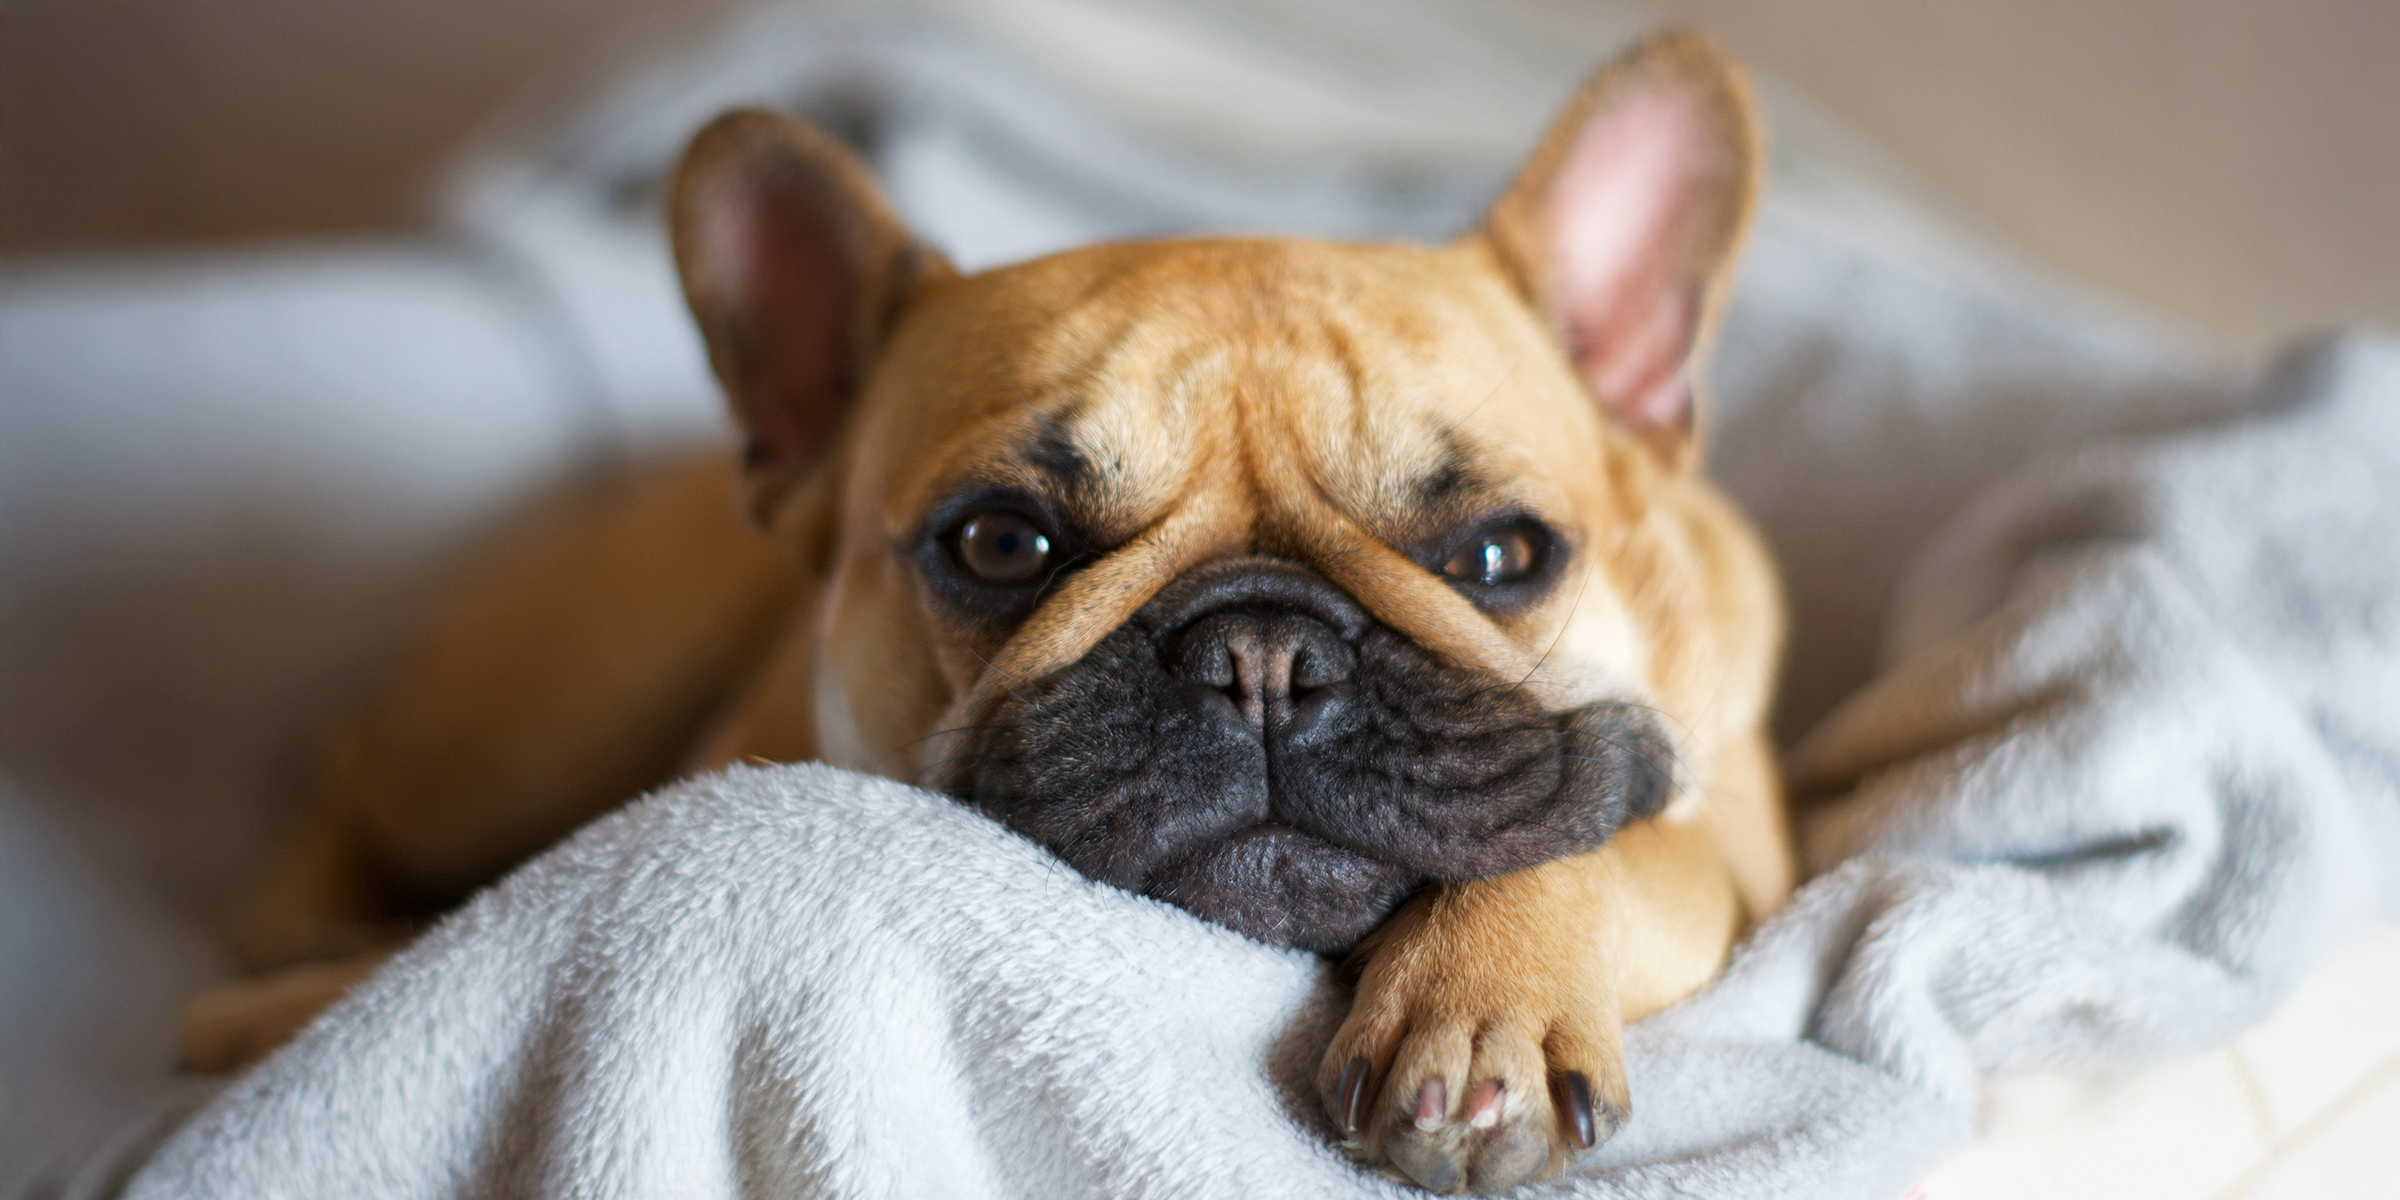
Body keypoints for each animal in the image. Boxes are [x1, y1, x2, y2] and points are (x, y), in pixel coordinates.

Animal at [187, 32, 1795, 1195]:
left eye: (1501, 555)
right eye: (1001, 543)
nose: (1263, 654)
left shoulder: (1741, 845)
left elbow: (1614, 845)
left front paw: (1486, 1008)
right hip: (523, 730)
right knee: (347, 770)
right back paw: (281, 963)